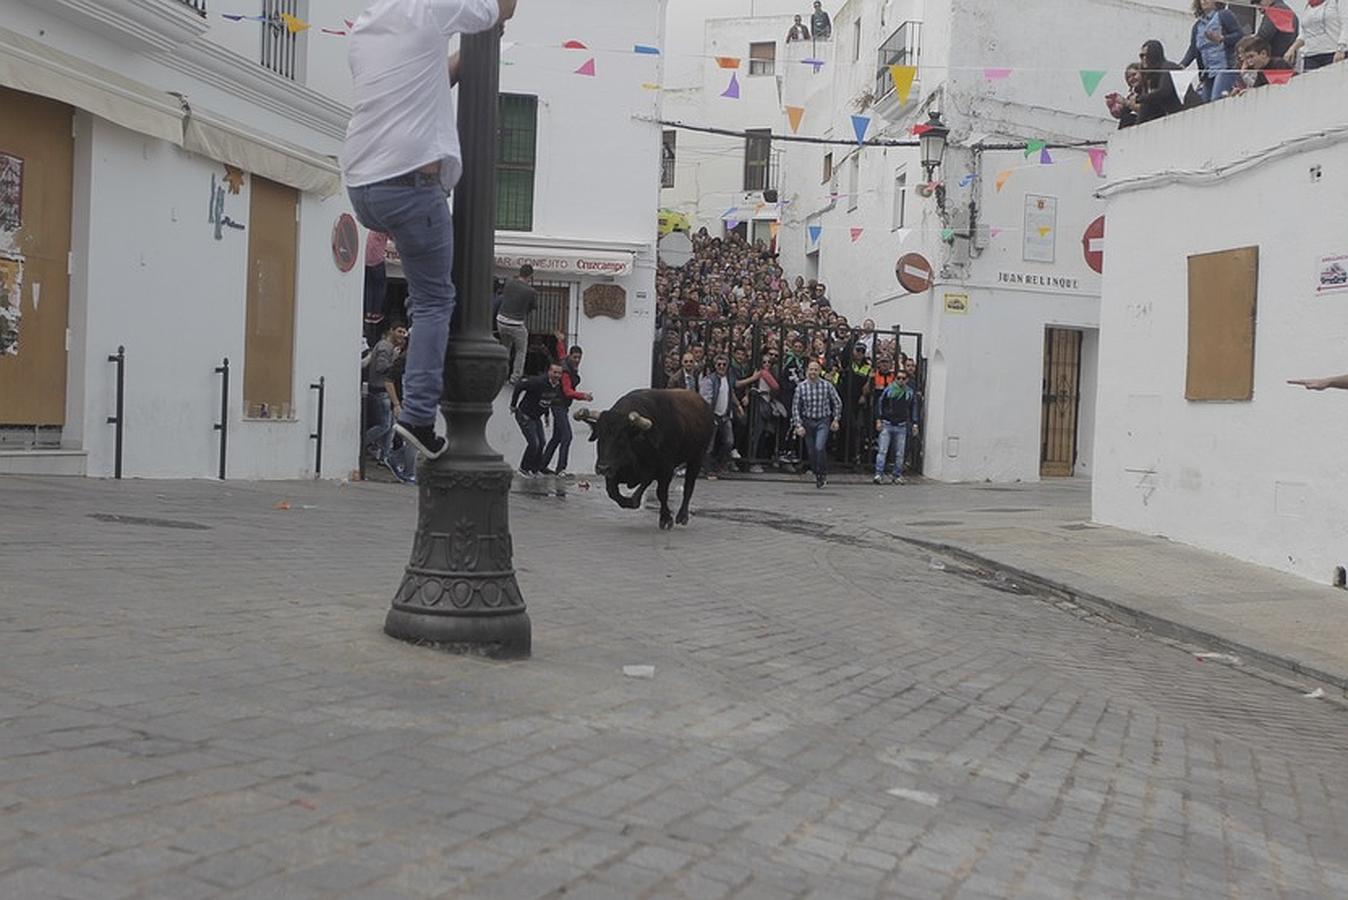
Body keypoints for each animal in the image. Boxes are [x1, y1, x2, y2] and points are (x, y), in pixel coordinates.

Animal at [571, 388, 717, 528]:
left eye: (621, 438)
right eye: (600, 436)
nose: (602, 468)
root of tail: (704, 404)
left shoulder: (666, 469)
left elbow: (661, 493)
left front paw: (666, 519)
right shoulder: (615, 471)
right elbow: (613, 492)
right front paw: (631, 501)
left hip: (697, 457)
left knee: (689, 486)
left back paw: (682, 516)